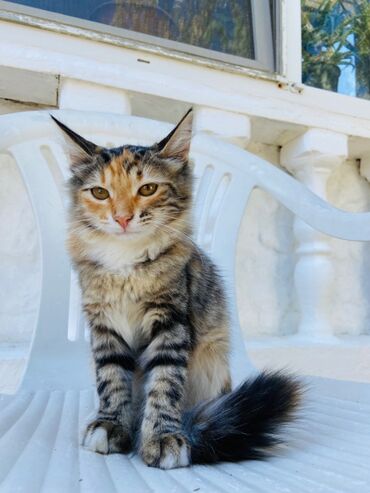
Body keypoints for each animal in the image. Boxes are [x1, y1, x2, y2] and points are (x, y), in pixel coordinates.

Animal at [51, 109, 300, 468]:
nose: (122, 218)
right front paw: (111, 425)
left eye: (148, 188)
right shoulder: (105, 326)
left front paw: (161, 437)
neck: (125, 264)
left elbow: (164, 383)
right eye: (100, 193)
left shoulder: (171, 322)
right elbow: (111, 379)